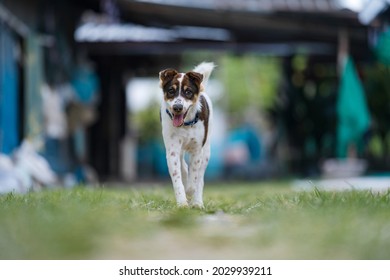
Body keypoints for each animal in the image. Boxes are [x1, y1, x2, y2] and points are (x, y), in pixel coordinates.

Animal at [159, 62, 216, 207]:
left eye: (188, 92)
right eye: (171, 91)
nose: (177, 107)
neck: (185, 124)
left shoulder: (197, 150)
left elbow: (195, 176)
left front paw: (190, 191)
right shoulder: (172, 150)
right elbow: (177, 177)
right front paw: (182, 202)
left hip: (206, 152)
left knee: (200, 177)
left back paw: (197, 202)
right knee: (183, 166)